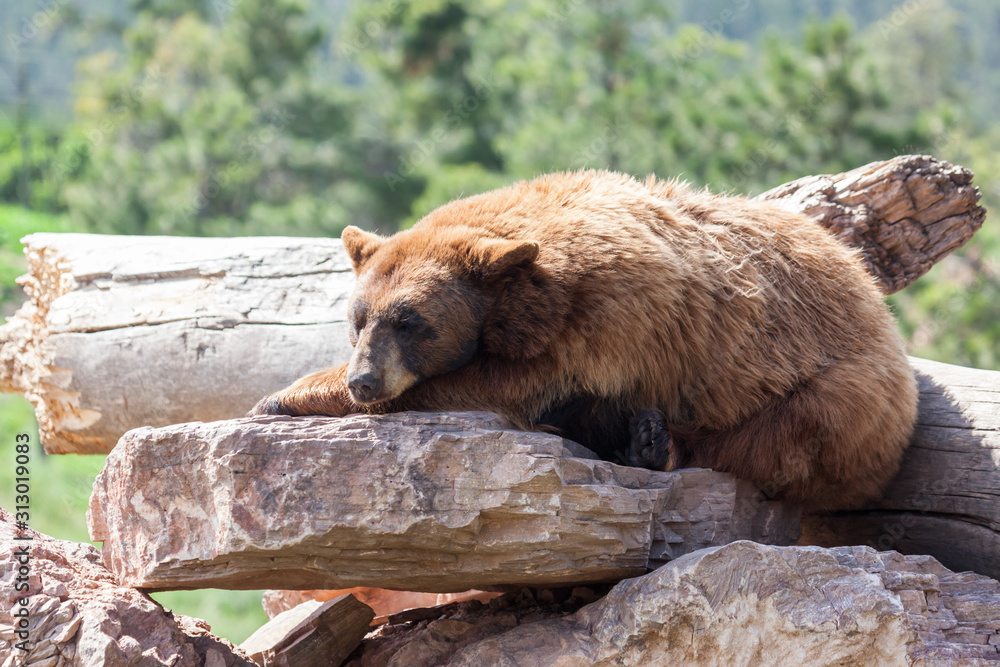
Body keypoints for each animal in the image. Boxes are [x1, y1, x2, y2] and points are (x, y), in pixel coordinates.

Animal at [248, 170, 916, 508]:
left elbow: (489, 385)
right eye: (358, 318)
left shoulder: (604, 322)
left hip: (834, 393)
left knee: (778, 443)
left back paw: (657, 445)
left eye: (410, 322)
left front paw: (284, 395)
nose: (364, 381)